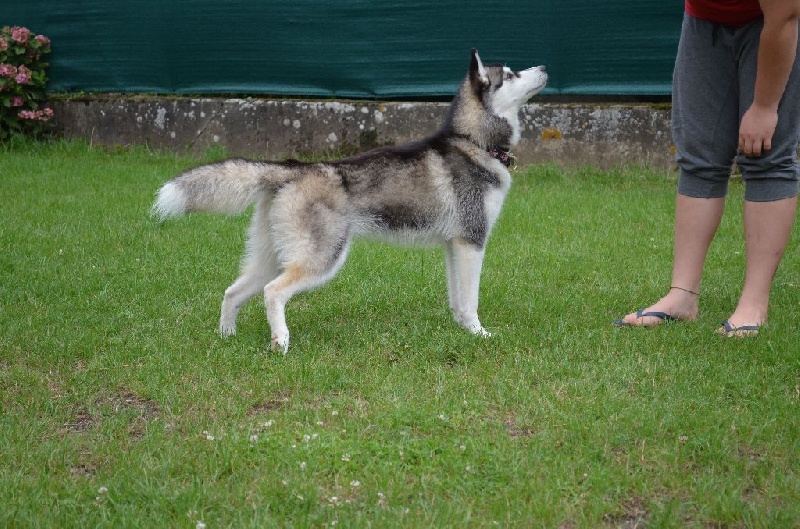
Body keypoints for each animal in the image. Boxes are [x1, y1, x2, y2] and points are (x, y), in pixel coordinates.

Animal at [152, 49, 547, 353]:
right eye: (509, 74)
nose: (543, 67)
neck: (475, 142)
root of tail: (295, 168)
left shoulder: (454, 245)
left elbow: (458, 301)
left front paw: (462, 331)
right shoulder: (471, 242)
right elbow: (471, 301)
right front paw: (480, 335)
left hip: (271, 256)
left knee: (232, 292)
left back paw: (226, 338)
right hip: (322, 258)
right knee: (272, 292)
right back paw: (280, 341)